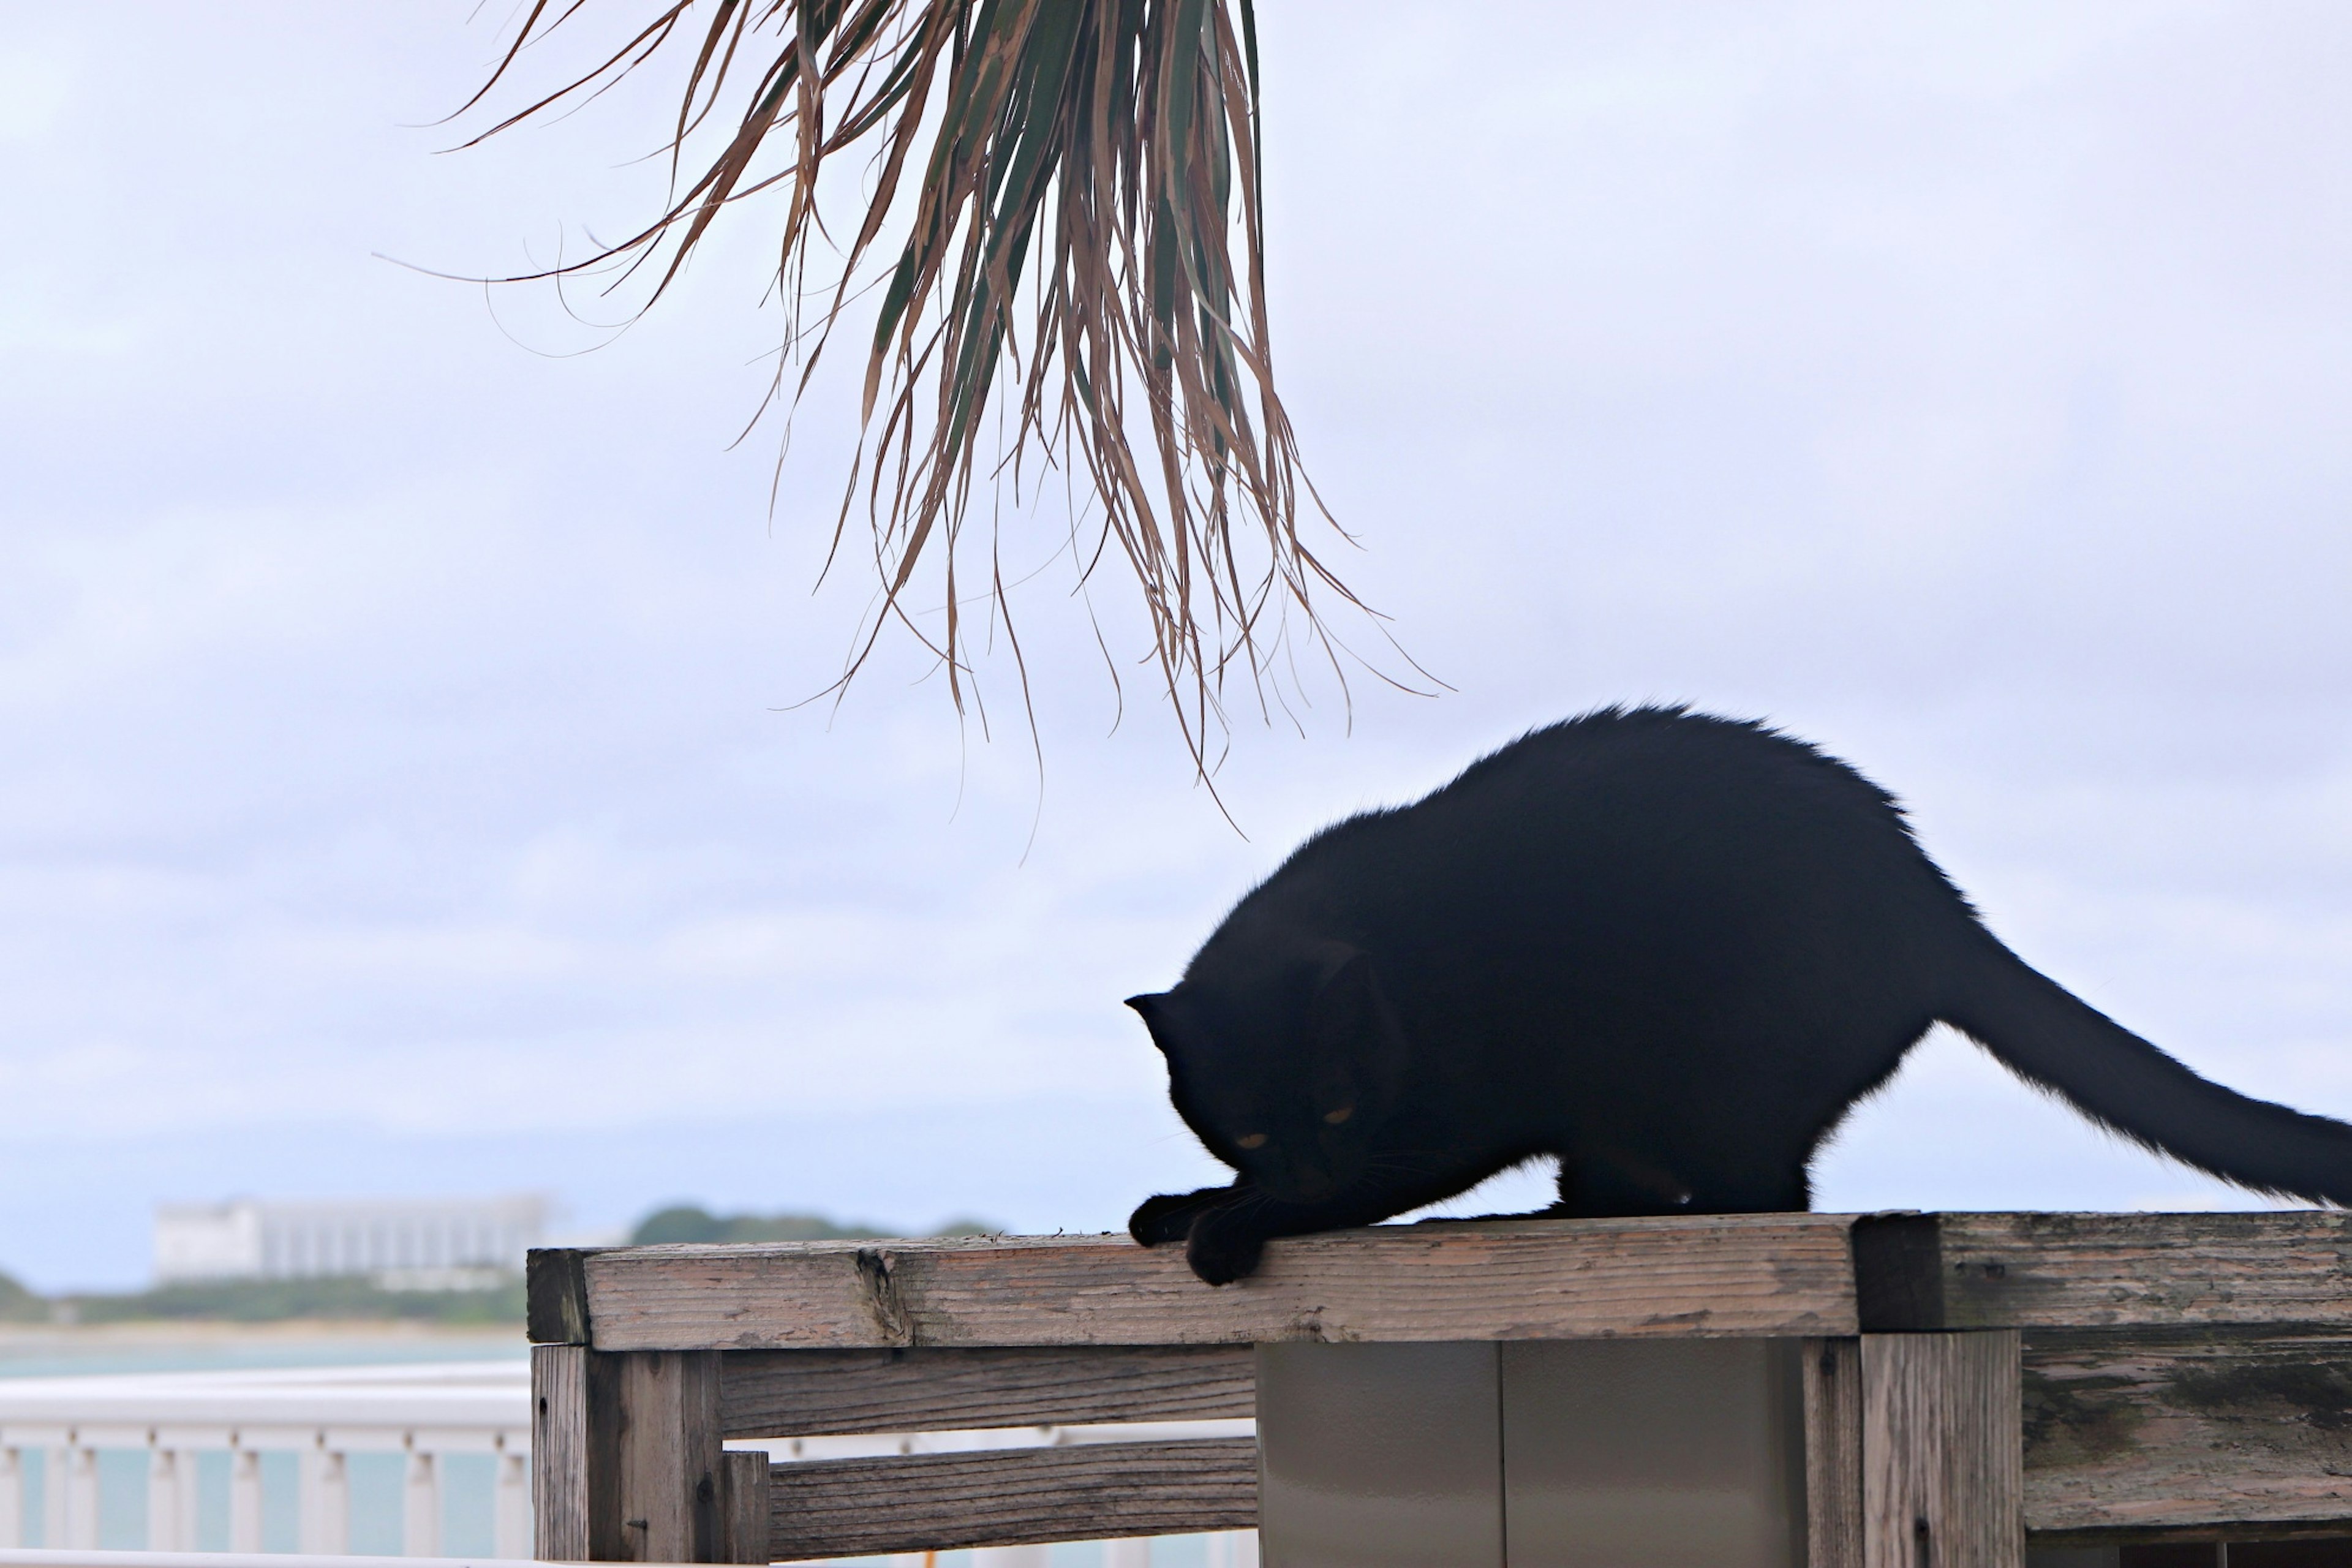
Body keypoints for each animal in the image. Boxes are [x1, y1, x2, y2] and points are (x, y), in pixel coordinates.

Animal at [1119, 710, 2352, 1288]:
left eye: (1336, 1105)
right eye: (1252, 1125)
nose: (1304, 1168)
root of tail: (1936, 904)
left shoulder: (1435, 1118)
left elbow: (1364, 1188)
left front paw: (1232, 1225)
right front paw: (1191, 1202)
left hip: (1722, 1086)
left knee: (1764, 1196)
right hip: (1623, 1113)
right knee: (1623, 1190)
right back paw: (1542, 1220)